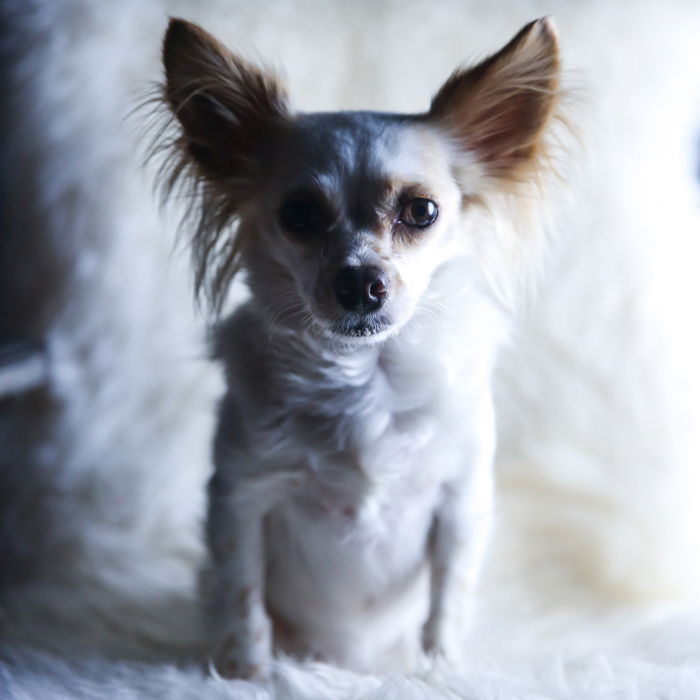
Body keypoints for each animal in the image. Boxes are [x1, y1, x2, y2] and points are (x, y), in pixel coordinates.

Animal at [159, 16, 564, 680]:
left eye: (421, 211)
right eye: (298, 214)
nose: (359, 282)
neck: (366, 379)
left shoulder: (461, 505)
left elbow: (447, 601)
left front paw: (440, 674)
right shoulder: (237, 500)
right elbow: (244, 600)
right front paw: (249, 676)